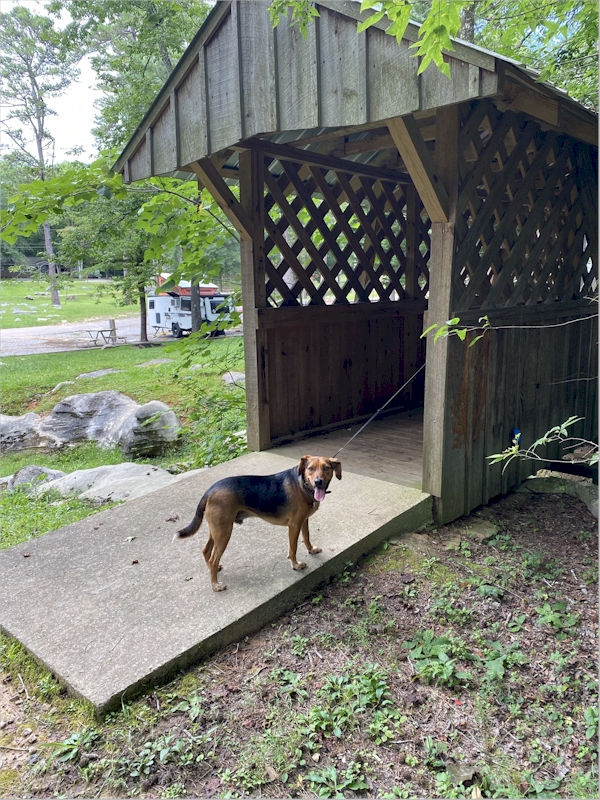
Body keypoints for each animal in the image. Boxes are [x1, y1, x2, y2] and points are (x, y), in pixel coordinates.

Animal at [173, 456, 342, 588]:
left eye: (326, 468)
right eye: (310, 469)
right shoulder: (294, 525)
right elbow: (293, 549)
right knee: (213, 558)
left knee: (206, 550)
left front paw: (311, 550)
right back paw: (215, 585)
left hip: (217, 530)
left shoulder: (304, 521)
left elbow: (306, 537)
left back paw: (212, 571)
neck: (302, 485)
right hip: (224, 533)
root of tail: (209, 491)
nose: (318, 482)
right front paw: (296, 565)